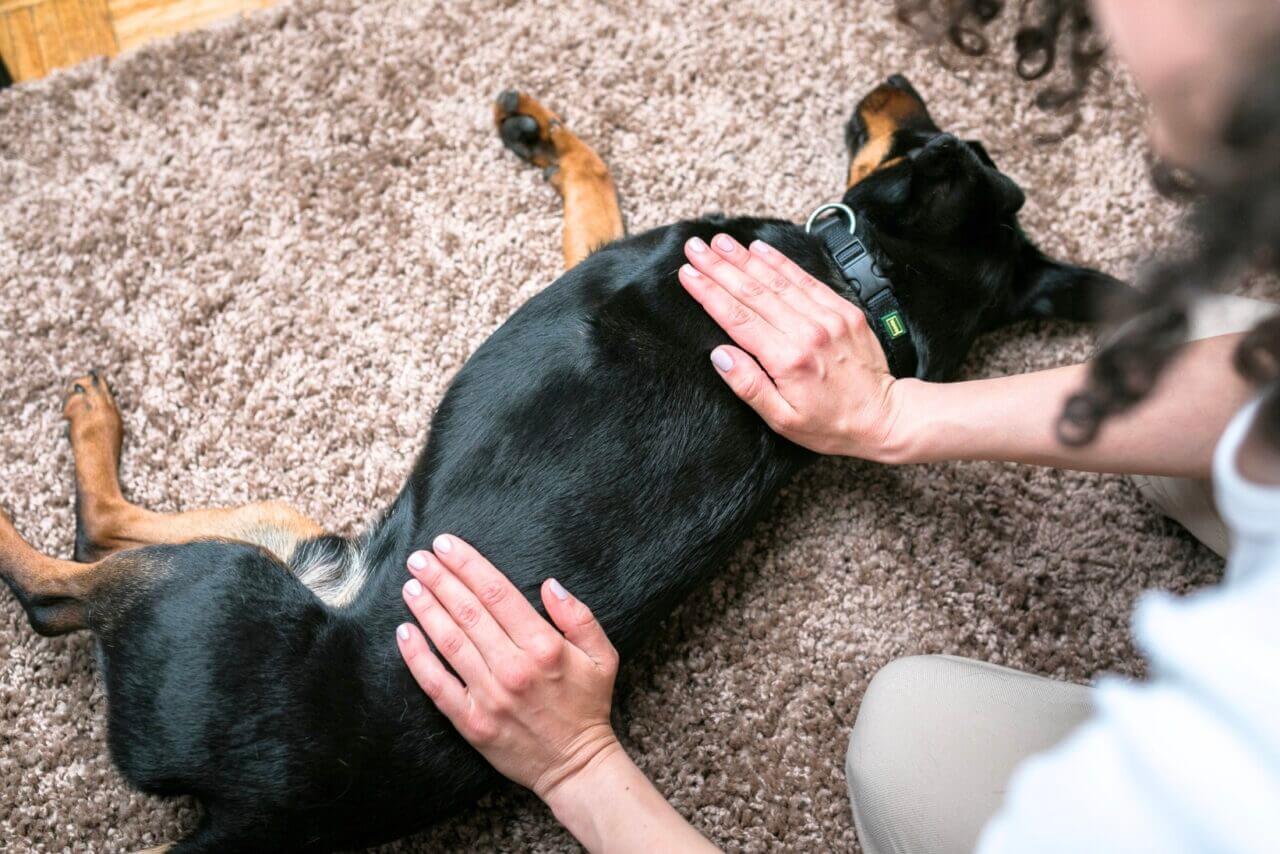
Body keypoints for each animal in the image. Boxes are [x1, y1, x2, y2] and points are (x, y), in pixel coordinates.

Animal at [0, 76, 1126, 850]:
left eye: (929, 138)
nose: (894, 78)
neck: (863, 282)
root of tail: (263, 809)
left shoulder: (612, 251)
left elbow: (593, 180)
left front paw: (541, 133)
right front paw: (537, 126)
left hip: (214, 589)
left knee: (61, 581)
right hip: (294, 538)